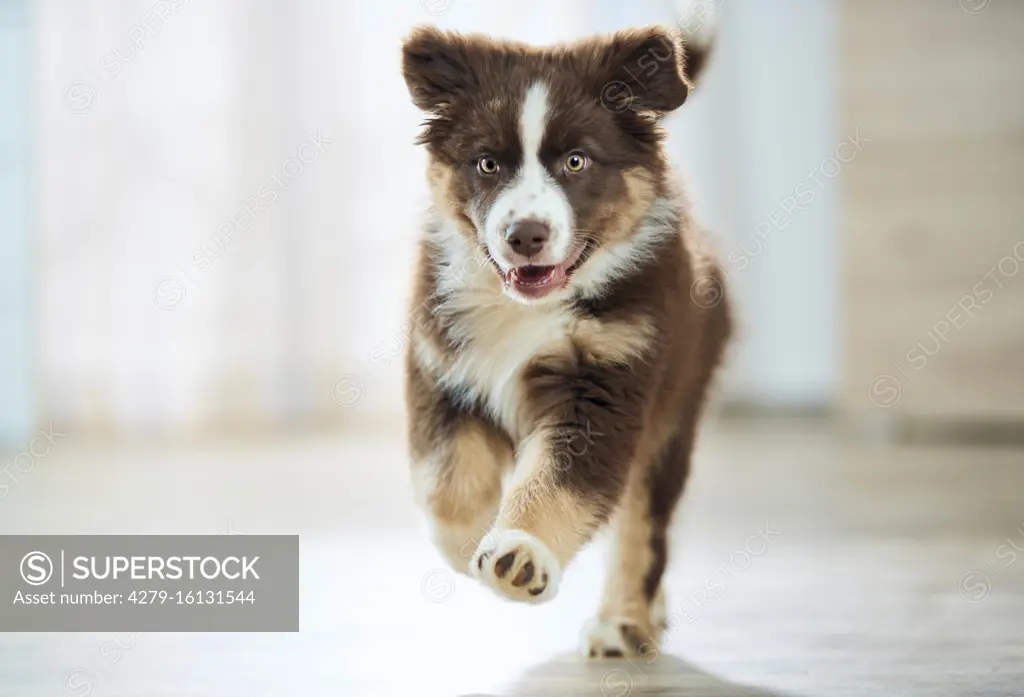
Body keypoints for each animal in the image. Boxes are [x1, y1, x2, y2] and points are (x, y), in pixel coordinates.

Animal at [397, 25, 729, 659]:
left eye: (577, 161)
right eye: (487, 163)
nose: (525, 235)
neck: (527, 310)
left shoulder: (606, 384)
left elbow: (557, 485)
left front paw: (518, 554)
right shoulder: (440, 370)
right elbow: (447, 489)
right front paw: (473, 543)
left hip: (673, 412)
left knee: (642, 526)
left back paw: (623, 622)